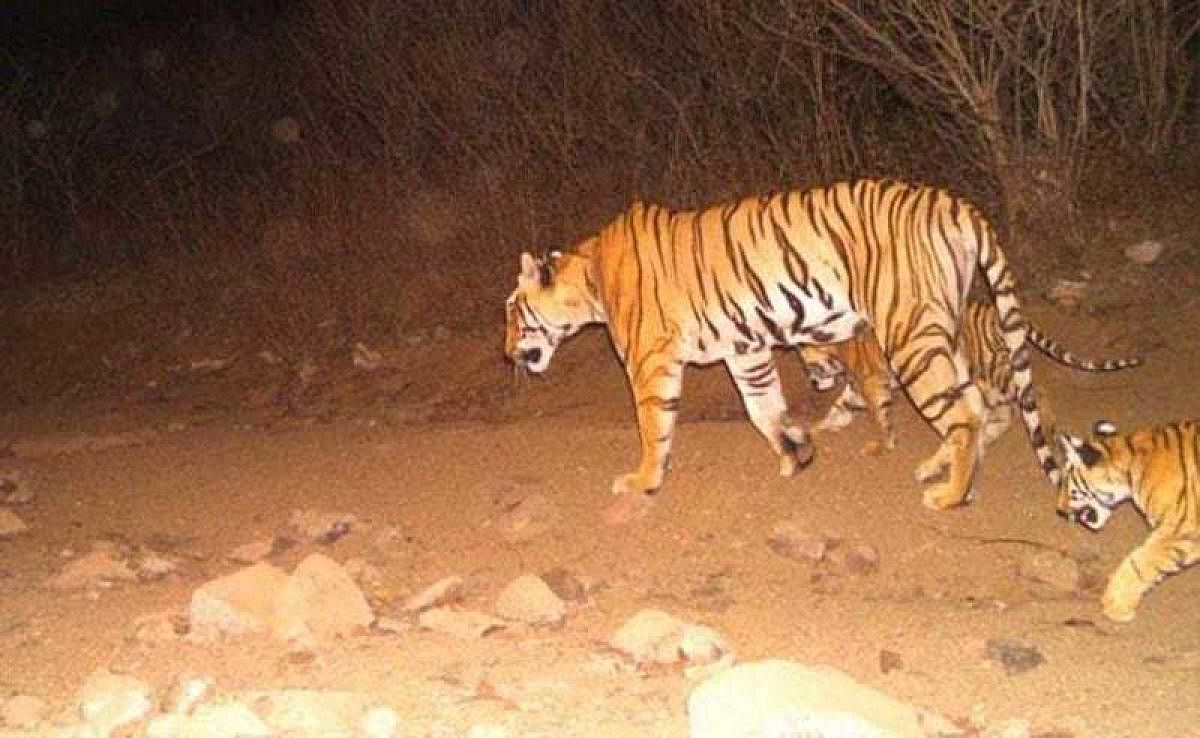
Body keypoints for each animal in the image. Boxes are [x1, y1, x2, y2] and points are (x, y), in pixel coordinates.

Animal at [506, 180, 1060, 516]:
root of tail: (954, 203)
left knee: (963, 412)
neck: (590, 281)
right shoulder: (744, 348)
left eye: (512, 310)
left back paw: (949, 494)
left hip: (911, 333)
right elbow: (763, 407)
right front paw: (797, 451)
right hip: (943, 328)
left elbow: (653, 427)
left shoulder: (651, 362)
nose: (507, 351)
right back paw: (940, 472)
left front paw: (643, 481)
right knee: (978, 406)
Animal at [801, 300, 1137, 456]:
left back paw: (1048, 428)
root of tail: (993, 310)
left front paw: (882, 446)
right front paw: (812, 428)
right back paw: (987, 435)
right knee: (1005, 411)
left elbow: (880, 420)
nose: (813, 384)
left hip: (997, 370)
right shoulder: (857, 390)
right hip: (986, 378)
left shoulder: (874, 386)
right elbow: (836, 411)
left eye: (808, 365)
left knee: (1036, 392)